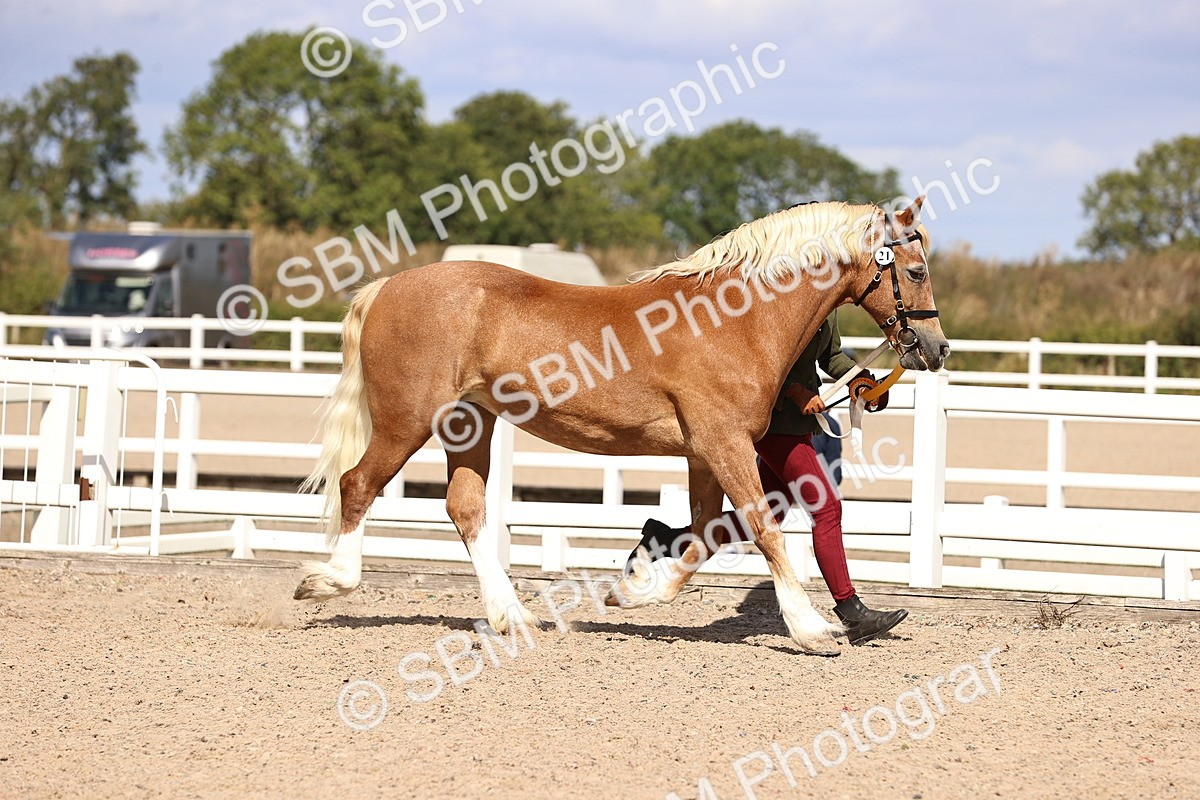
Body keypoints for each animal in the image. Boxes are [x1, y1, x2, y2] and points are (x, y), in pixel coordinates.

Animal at [293, 197, 949, 654]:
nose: (936, 349)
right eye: (915, 270)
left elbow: (708, 530)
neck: (736, 317)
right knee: (358, 485)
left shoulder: (703, 452)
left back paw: (513, 616)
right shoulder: (723, 443)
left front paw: (635, 589)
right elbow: (761, 528)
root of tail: (386, 288)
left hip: (468, 422)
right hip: (409, 419)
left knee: (466, 508)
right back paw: (325, 582)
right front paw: (812, 629)